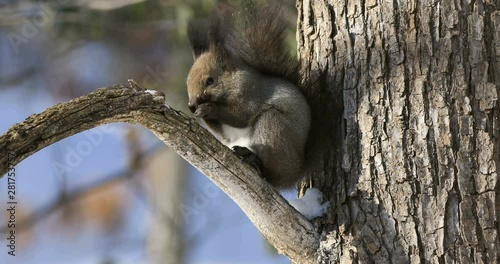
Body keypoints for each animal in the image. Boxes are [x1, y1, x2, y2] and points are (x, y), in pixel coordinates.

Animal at [185, 1, 308, 189]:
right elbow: (222, 132)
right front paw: (199, 112)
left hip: (273, 128)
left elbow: (241, 115)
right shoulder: (226, 133)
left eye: (210, 81)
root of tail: (294, 174)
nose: (192, 104)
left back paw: (253, 158)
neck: (232, 82)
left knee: (270, 172)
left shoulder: (250, 91)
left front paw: (209, 109)